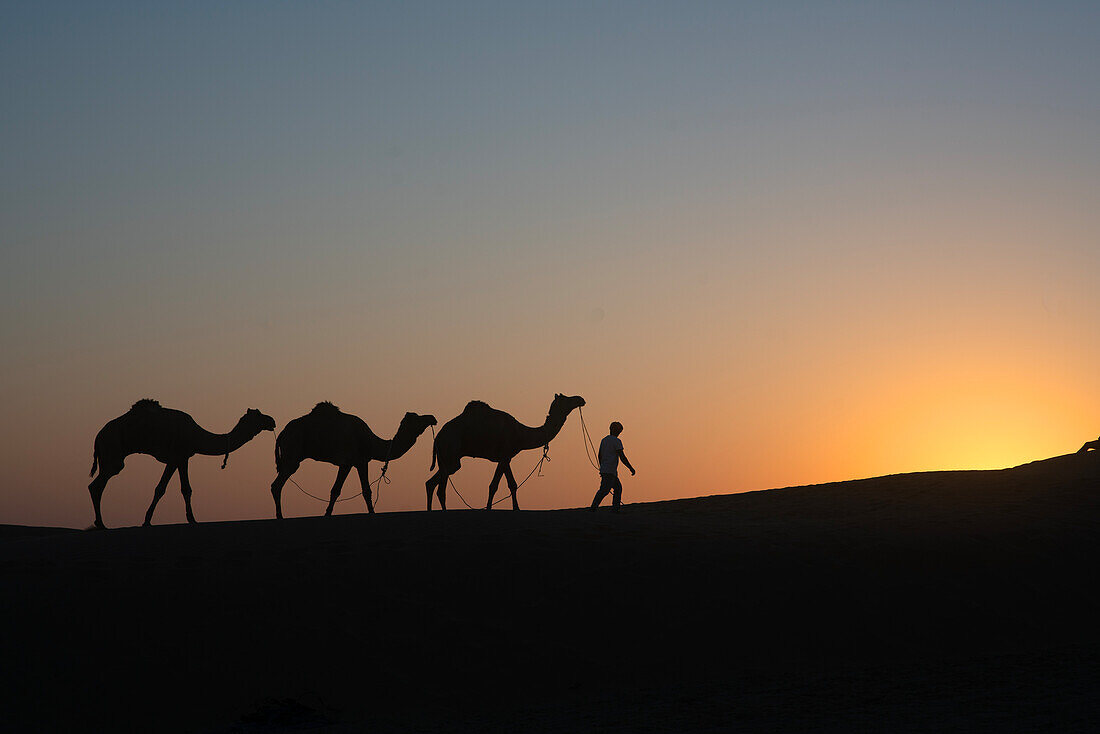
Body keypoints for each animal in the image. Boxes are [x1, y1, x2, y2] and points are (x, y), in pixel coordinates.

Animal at [90, 402, 279, 528]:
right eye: (259, 415)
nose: (272, 420)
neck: (196, 434)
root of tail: (98, 436)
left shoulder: (183, 458)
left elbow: (185, 489)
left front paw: (192, 519)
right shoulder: (175, 456)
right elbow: (161, 488)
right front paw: (146, 521)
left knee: (97, 485)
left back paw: (100, 523)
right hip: (113, 452)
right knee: (96, 485)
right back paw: (101, 524)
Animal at [268, 404, 435, 519]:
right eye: (417, 418)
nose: (432, 417)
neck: (371, 442)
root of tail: (282, 433)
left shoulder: (346, 463)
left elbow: (335, 490)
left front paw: (327, 514)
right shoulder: (360, 461)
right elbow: (366, 490)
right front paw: (372, 512)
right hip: (293, 454)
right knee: (276, 484)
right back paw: (280, 516)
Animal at [424, 396, 589, 510]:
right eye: (566, 399)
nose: (581, 399)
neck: (521, 433)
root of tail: (438, 437)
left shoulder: (507, 457)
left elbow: (512, 484)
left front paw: (516, 508)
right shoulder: (504, 455)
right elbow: (494, 485)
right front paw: (489, 509)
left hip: (445, 458)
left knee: (430, 483)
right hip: (451, 452)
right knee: (441, 488)